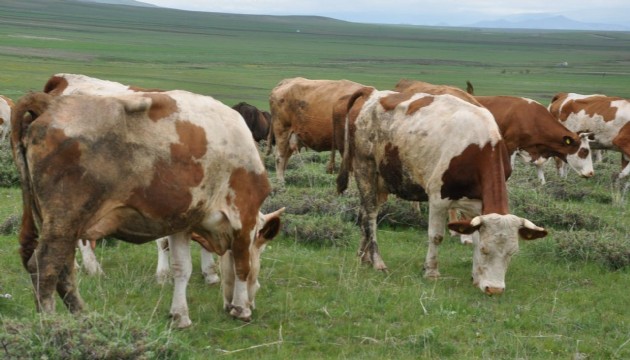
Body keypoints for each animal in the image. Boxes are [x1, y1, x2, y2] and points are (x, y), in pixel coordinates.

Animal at [10, 89, 284, 326]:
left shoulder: (182, 223)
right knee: (45, 268)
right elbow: (242, 266)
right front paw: (242, 308)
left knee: (65, 270)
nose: (252, 302)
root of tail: (51, 104)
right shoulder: (244, 217)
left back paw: (82, 318)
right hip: (65, 219)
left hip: (58, 224)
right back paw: (51, 324)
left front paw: (180, 315)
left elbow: (182, 268)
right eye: (262, 248)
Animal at [338, 86, 552, 296]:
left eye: (512, 253)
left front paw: (476, 276)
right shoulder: (437, 199)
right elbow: (436, 236)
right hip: (364, 169)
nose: (495, 289)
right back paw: (377, 261)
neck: (480, 146)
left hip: (382, 181)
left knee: (365, 214)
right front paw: (431, 272)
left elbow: (474, 236)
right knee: (370, 217)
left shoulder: (477, 204)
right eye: (486, 250)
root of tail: (372, 92)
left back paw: (363, 257)